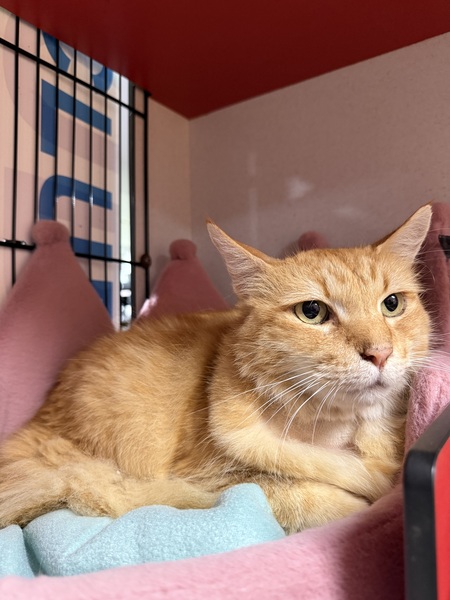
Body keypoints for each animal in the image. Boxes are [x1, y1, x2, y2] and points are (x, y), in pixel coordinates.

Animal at [0, 204, 432, 535]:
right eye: (312, 311)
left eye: (392, 304)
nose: (380, 353)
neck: (340, 433)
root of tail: (39, 421)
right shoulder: (212, 479)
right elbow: (307, 496)